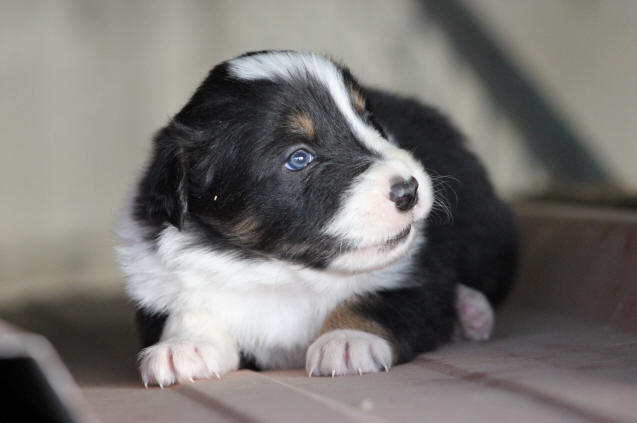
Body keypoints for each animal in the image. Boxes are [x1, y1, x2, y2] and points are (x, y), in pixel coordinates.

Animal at [115, 49, 516, 388]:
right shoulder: (157, 279)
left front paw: (347, 339)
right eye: (299, 158)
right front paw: (183, 347)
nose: (409, 190)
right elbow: (185, 311)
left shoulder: (415, 277)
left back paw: (470, 310)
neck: (282, 273)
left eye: (369, 120)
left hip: (484, 232)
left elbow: (376, 302)